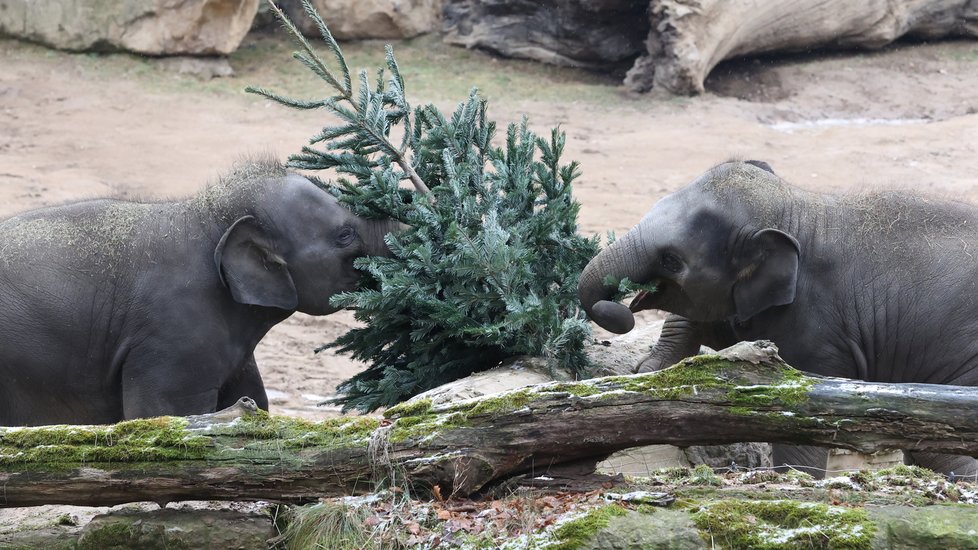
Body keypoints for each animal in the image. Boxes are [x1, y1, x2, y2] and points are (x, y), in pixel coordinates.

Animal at [580, 161, 976, 478]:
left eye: (672, 260)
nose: (618, 308)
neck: (798, 208)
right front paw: (647, 375)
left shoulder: (817, 330)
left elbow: (801, 409)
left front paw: (794, 476)